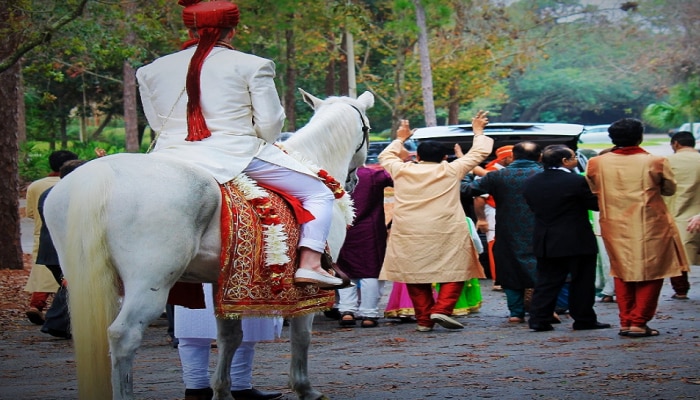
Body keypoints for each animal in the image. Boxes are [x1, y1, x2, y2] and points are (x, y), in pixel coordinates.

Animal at [43, 90, 374, 400]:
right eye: (368, 128)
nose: (354, 181)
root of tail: (98, 176)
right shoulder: (308, 287)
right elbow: (301, 336)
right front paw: (305, 388)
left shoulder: (225, 284)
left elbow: (230, 336)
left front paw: (222, 390)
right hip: (149, 282)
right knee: (124, 336)